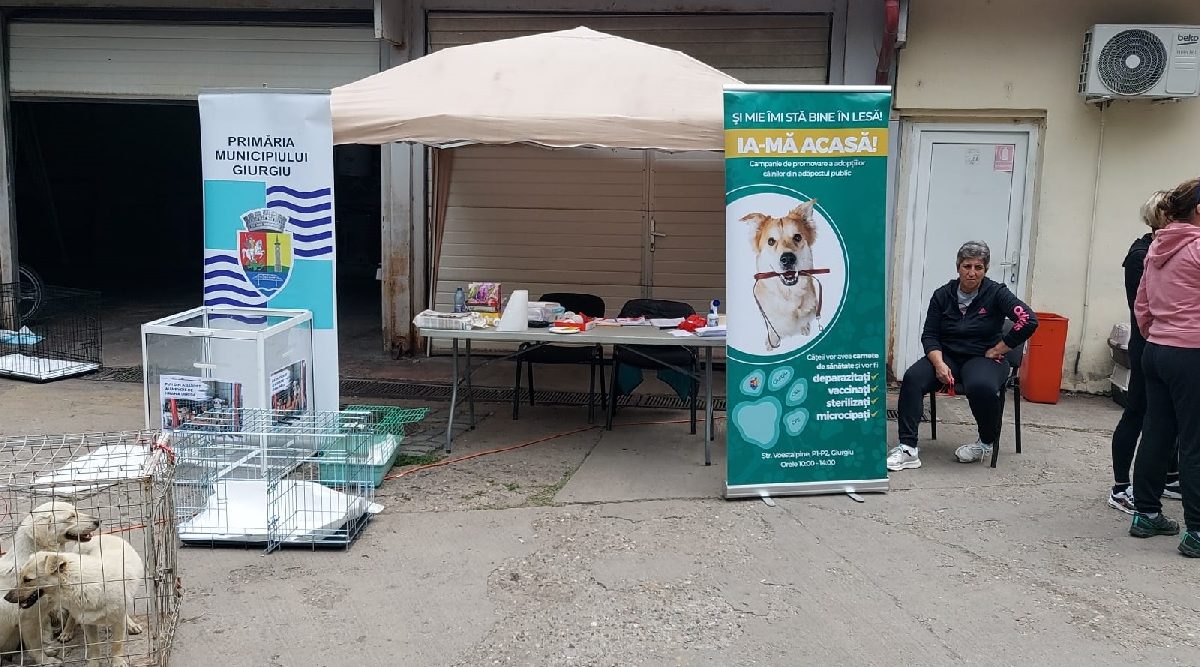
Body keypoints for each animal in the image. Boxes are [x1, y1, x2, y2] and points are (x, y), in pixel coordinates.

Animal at [5, 534, 143, 667]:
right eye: (20, 577)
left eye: (28, 580)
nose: (5, 597)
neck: (82, 585)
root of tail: (102, 535)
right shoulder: (88, 622)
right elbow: (94, 647)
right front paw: (93, 663)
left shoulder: (118, 620)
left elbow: (117, 644)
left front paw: (117, 662)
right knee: (72, 616)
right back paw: (66, 632)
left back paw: (131, 625)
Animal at [742, 200, 825, 349]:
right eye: (771, 241)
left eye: (797, 237)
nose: (788, 259)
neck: (788, 294)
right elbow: (772, 328)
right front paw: (772, 341)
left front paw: (804, 327)